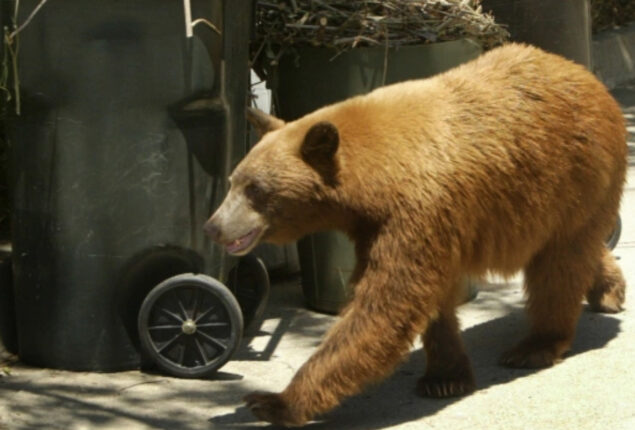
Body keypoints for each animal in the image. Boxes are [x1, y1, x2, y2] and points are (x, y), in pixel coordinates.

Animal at [206, 42, 628, 424]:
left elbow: (384, 306)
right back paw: (608, 290)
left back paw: (534, 346)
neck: (375, 178)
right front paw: (445, 376)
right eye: (232, 181)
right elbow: (425, 298)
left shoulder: (416, 213)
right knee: (575, 251)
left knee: (558, 265)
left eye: (255, 189)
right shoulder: (385, 226)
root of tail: (591, 79)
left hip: (577, 176)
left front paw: (272, 401)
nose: (213, 227)